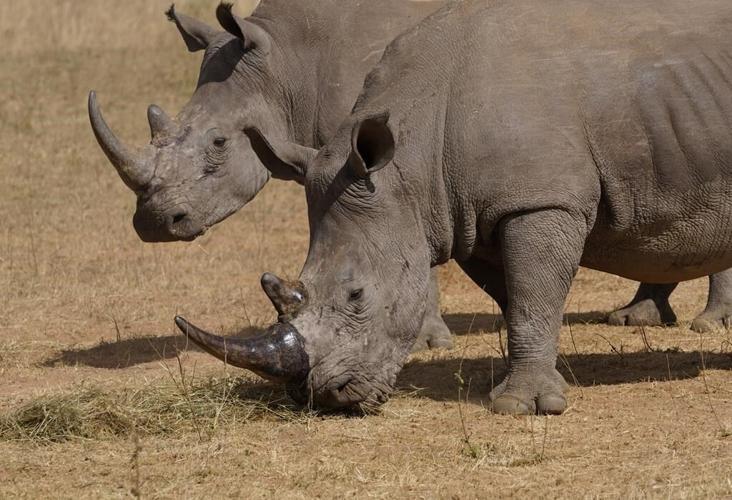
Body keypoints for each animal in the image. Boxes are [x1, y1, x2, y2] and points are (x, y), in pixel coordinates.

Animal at [176, 0, 732, 413]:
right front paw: (523, 382)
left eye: (357, 296)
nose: (324, 397)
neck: (412, 161)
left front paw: (520, 407)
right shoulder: (471, 216)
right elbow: (517, 299)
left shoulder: (539, 203)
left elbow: (531, 298)